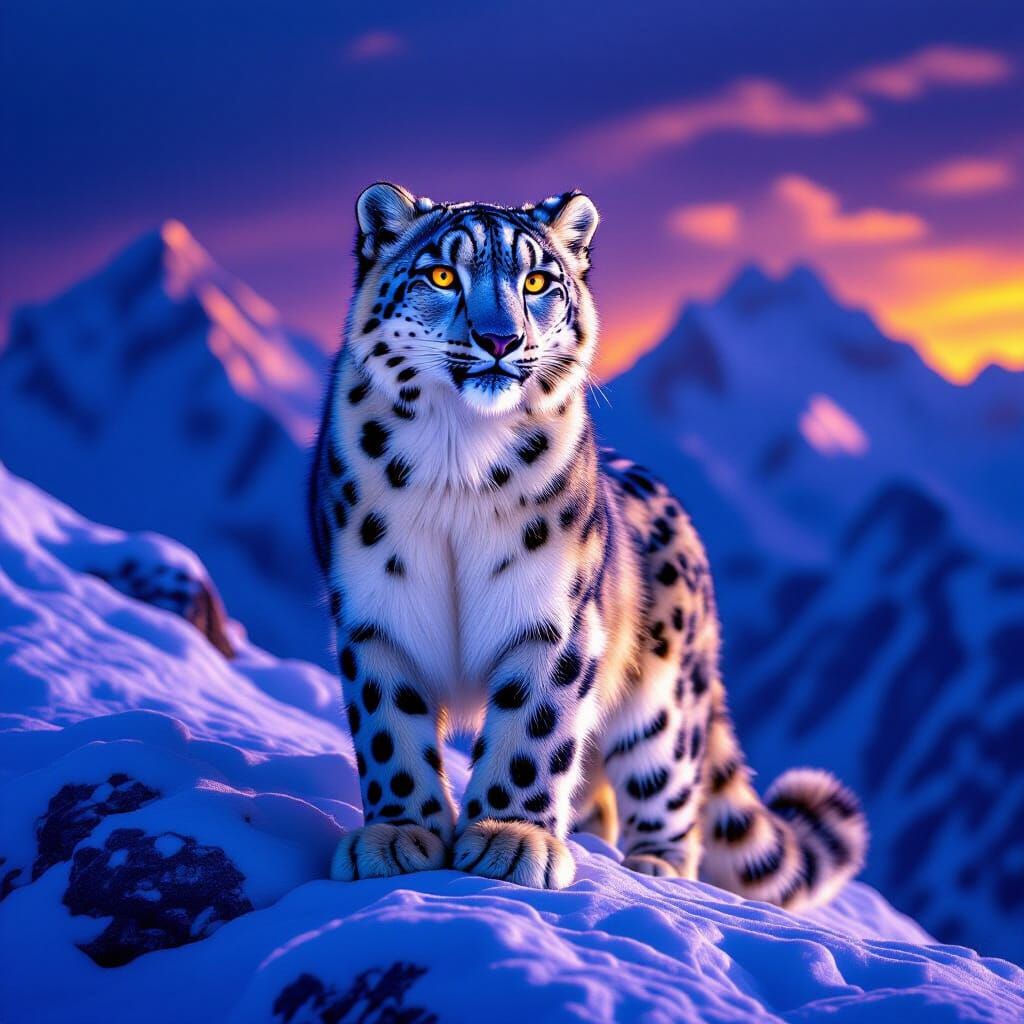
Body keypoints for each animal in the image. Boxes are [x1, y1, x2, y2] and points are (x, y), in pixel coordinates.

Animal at [308, 182, 867, 906]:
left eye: (537, 281)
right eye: (442, 275)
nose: (500, 338)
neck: (457, 461)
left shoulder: (554, 617)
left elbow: (534, 728)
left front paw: (509, 837)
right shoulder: (375, 614)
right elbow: (390, 726)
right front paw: (400, 834)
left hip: (662, 702)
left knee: (666, 787)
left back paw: (654, 867)